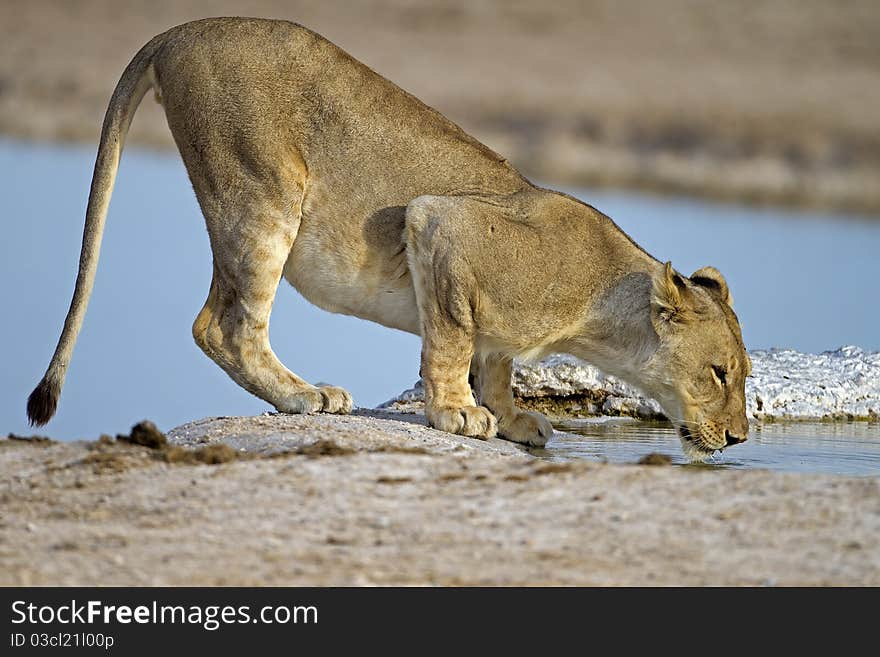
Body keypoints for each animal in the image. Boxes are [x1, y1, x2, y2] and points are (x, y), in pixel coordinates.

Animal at [27, 19, 748, 462]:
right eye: (720, 372)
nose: (742, 438)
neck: (600, 305)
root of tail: (176, 30)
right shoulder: (438, 222)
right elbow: (452, 343)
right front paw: (458, 414)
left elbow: (495, 360)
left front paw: (513, 417)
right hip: (261, 191)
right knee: (223, 327)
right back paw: (307, 396)